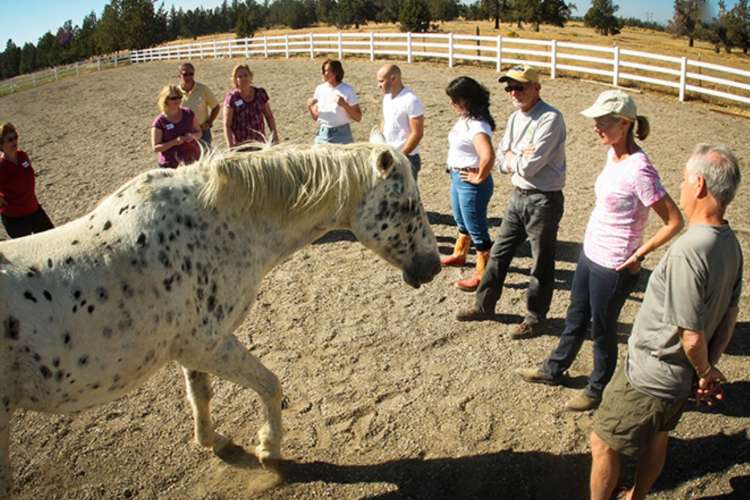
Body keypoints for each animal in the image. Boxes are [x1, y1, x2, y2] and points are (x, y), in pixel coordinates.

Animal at [0, 142, 444, 496]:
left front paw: (211, 441)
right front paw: (269, 451)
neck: (213, 224)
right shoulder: (210, 344)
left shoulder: (191, 351)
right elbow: (270, 386)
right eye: (405, 205)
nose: (434, 266)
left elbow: (201, 394)